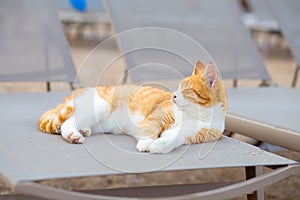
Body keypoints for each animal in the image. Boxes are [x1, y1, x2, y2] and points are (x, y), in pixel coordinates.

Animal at [39, 60, 227, 153]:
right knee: (67, 122)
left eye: (186, 90)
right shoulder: (157, 117)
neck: (197, 115)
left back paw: (84, 130)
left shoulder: (190, 135)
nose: (173, 95)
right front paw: (146, 144)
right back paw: (73, 134)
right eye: (177, 88)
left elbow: (173, 138)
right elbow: (150, 129)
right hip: (99, 106)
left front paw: (159, 146)